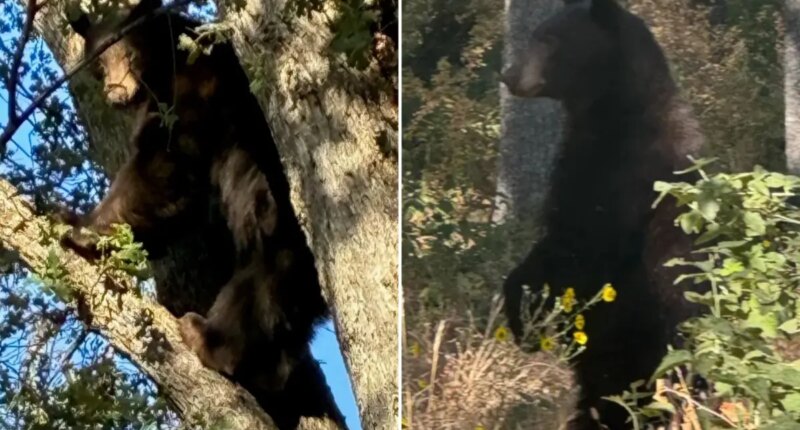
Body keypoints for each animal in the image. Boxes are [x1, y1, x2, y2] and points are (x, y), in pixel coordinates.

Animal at [64, 1, 344, 428]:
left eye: (126, 53)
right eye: (98, 64)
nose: (114, 92)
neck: (167, 61)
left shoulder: (196, 90)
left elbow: (165, 166)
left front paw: (83, 228)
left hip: (282, 210)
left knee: (266, 276)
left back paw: (209, 339)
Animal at [500, 0, 705, 428]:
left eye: (549, 39)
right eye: (537, 34)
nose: (508, 75)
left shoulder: (622, 181)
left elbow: (578, 246)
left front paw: (526, 317)